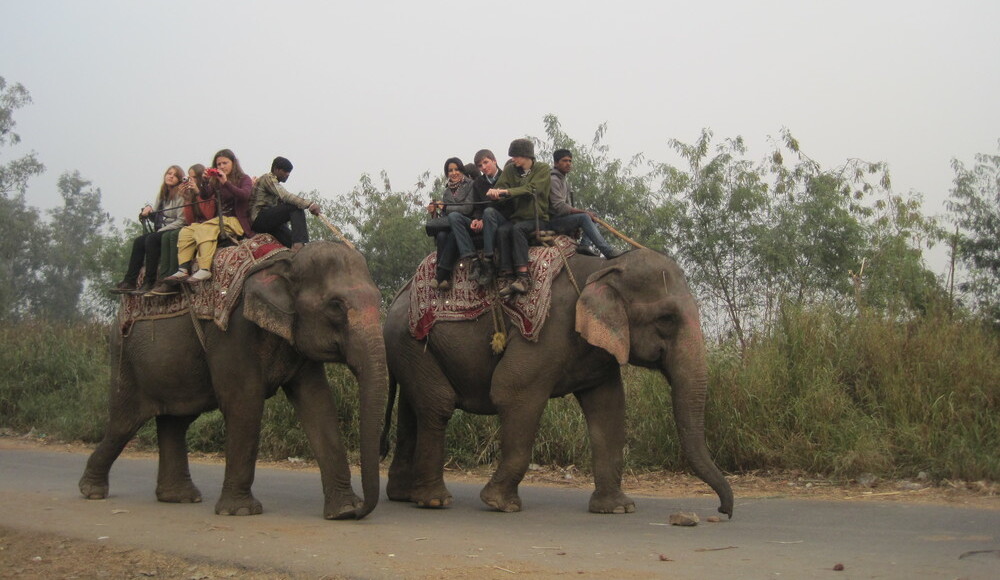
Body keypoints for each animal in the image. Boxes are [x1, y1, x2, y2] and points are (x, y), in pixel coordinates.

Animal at [79, 240, 386, 520]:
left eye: (379, 298)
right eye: (336, 306)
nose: (361, 512)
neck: (286, 260)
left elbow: (318, 402)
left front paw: (343, 511)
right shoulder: (232, 331)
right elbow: (244, 403)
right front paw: (240, 511)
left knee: (175, 421)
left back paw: (179, 497)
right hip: (125, 358)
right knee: (124, 422)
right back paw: (92, 491)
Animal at [382, 248, 736, 516]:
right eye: (666, 318)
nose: (723, 511)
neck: (602, 270)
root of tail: (398, 296)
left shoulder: (596, 353)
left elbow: (609, 409)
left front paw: (617, 509)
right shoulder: (546, 329)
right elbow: (512, 392)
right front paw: (500, 504)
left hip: (410, 349)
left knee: (413, 413)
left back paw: (405, 496)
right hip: (411, 341)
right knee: (438, 406)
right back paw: (434, 501)